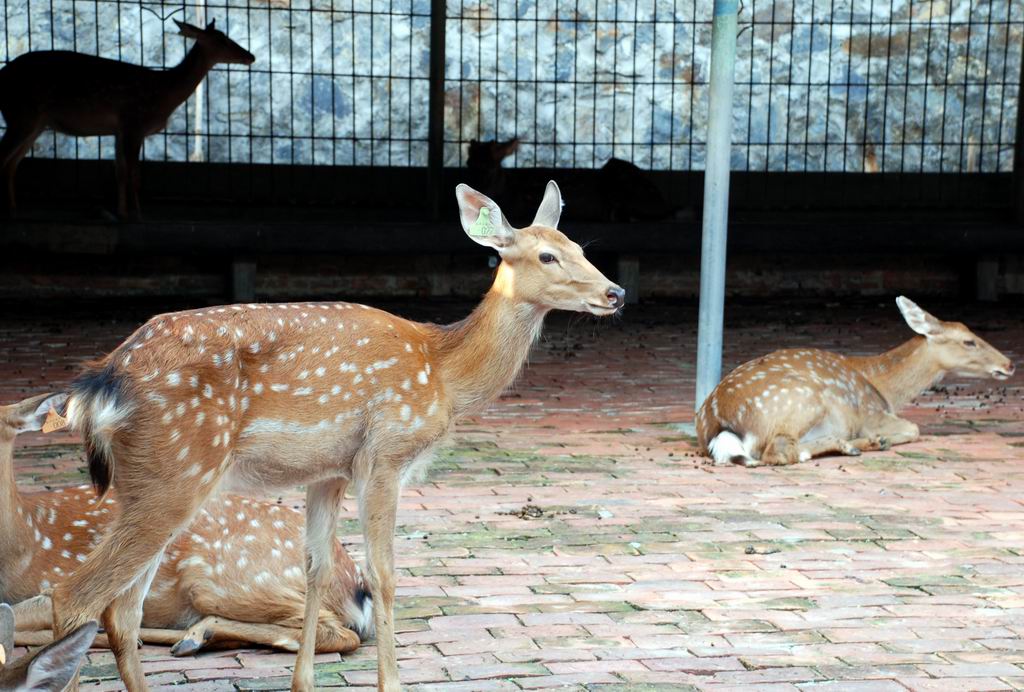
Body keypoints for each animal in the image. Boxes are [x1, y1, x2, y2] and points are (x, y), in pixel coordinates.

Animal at [0, 20, 253, 218]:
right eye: (223, 40)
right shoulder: (135, 122)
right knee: (4, 158)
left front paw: (121, 213)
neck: (165, 93)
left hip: (35, 123)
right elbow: (134, 174)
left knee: (12, 164)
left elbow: (120, 172)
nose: (251, 56)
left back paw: (13, 209)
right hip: (22, 115)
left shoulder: (119, 130)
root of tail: (2, 75)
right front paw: (138, 215)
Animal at [0, 391, 372, 655]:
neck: (26, 537)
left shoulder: (53, 578)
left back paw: (193, 636)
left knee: (337, 633)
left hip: (234, 579)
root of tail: (354, 581)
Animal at [51, 181, 626, 687]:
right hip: (177, 467)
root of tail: (101, 381)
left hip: (154, 481)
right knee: (74, 597)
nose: (616, 292)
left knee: (121, 612)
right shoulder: (386, 453)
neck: (443, 373)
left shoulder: (329, 471)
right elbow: (384, 575)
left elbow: (318, 570)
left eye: (579, 247)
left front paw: (302, 682)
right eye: (546, 256)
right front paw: (390, 683)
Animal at [696, 294, 1015, 466]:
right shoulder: (871, 414)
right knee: (779, 452)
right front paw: (880, 438)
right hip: (802, 400)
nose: (1009, 364)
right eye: (969, 341)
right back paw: (859, 444)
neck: (884, 387)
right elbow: (913, 428)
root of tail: (719, 424)